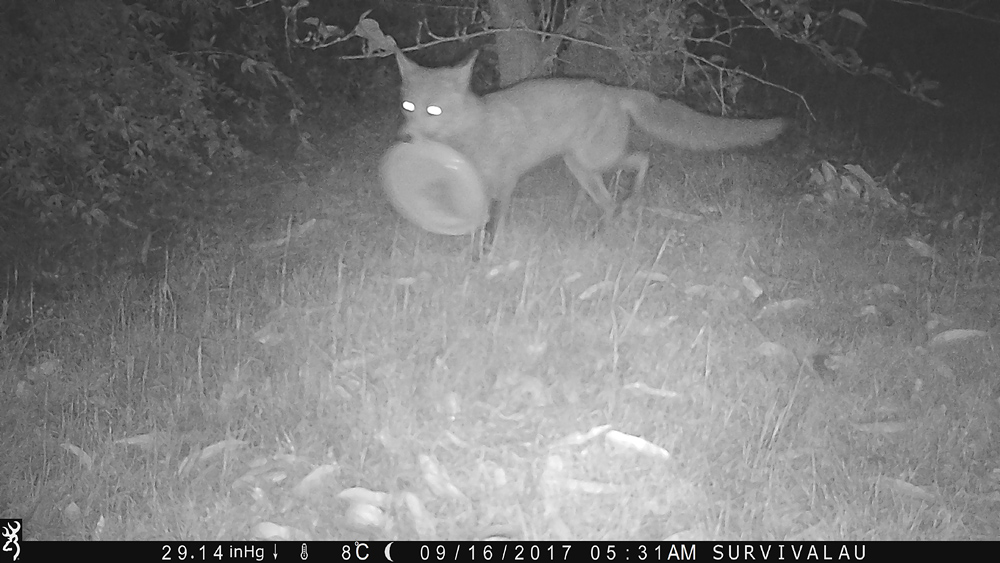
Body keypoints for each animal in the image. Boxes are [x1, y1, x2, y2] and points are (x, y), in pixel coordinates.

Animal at [394, 50, 787, 249]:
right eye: (409, 106)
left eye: (434, 111)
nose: (405, 137)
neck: (473, 130)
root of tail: (614, 90)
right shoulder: (476, 183)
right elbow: (475, 222)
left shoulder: (505, 183)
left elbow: (494, 224)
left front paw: (488, 256)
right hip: (581, 165)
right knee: (604, 196)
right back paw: (589, 218)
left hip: (594, 159)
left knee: (640, 162)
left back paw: (622, 210)